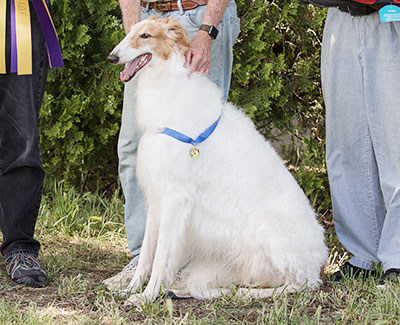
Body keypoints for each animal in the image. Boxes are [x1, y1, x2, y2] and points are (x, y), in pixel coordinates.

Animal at [108, 15, 326, 304]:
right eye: (130, 31)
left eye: (145, 35)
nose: (111, 57)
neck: (169, 88)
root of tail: (319, 263)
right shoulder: (157, 196)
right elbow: (146, 255)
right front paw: (132, 288)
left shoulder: (175, 199)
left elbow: (160, 258)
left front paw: (146, 297)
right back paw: (187, 289)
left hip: (271, 239)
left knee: (294, 286)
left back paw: (236, 294)